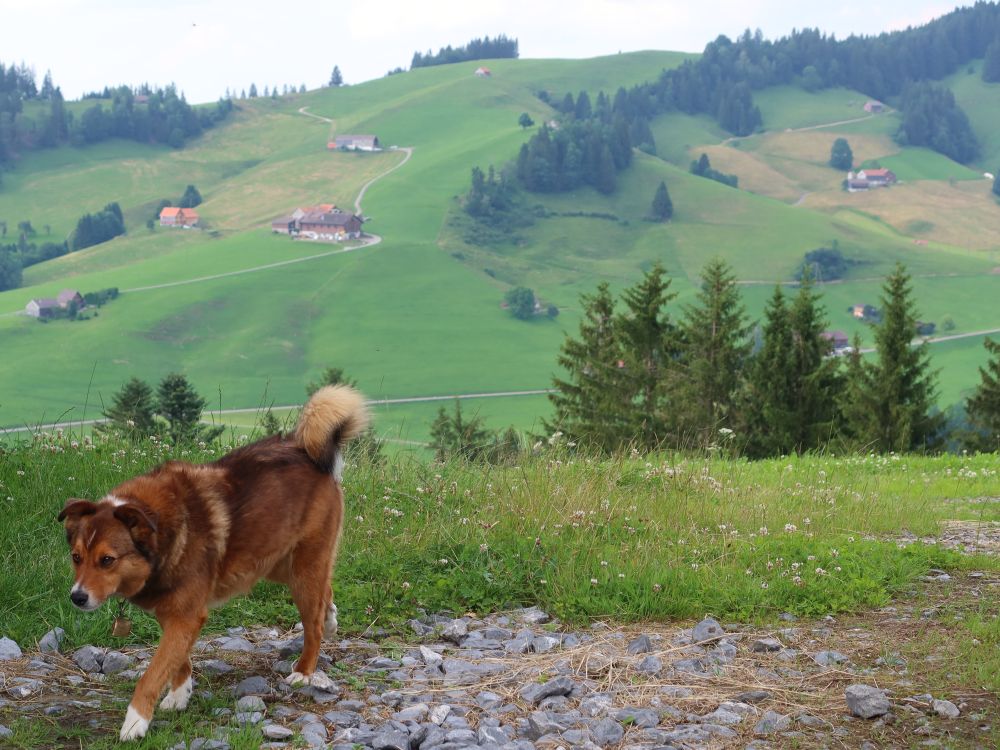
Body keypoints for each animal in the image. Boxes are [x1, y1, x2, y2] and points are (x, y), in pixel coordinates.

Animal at [55, 384, 368, 744]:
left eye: (107, 560)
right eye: (76, 557)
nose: (77, 597)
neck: (162, 530)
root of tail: (307, 449)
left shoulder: (186, 616)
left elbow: (153, 673)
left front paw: (135, 722)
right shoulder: (176, 614)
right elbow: (177, 662)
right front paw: (179, 694)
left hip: (302, 568)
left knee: (312, 623)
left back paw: (304, 671)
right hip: (279, 563)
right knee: (324, 593)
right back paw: (330, 619)